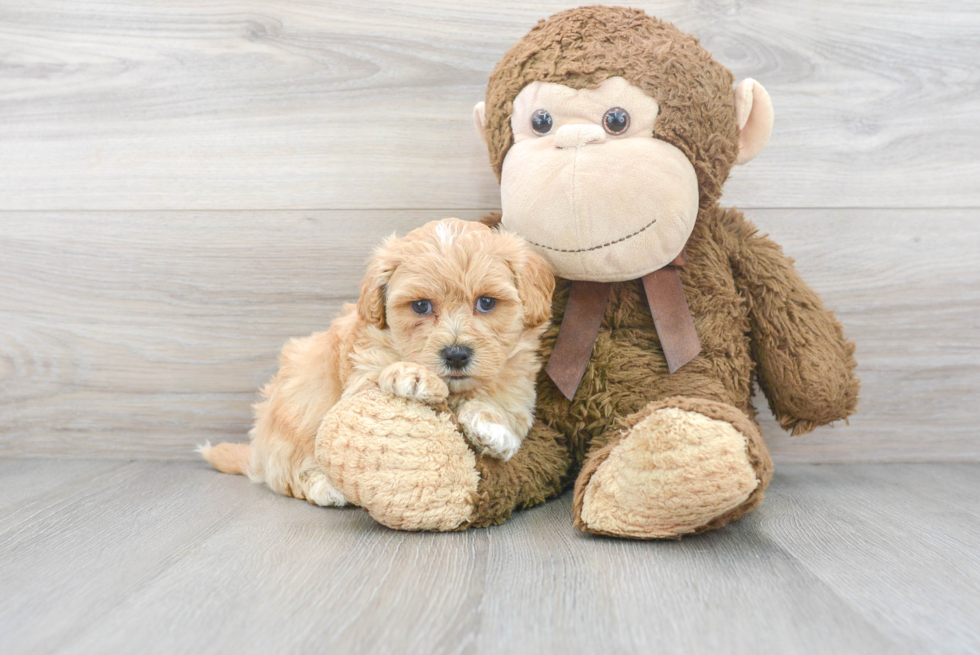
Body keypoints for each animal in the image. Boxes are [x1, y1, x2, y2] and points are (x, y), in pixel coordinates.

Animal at [201, 219, 552, 508]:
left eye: (487, 303)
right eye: (421, 306)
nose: (455, 354)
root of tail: (257, 453)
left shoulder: (516, 388)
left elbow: (499, 409)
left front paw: (492, 430)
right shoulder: (359, 377)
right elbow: (377, 380)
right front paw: (412, 375)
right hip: (294, 417)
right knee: (287, 474)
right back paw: (326, 488)